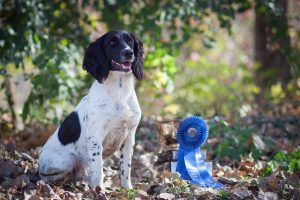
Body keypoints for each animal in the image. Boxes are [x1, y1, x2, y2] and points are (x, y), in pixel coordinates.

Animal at [38, 30, 144, 189]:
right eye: (112, 43)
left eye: (130, 41)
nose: (129, 52)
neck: (120, 93)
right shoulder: (96, 138)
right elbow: (98, 169)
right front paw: (99, 190)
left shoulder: (129, 136)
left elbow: (126, 168)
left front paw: (127, 190)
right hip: (66, 160)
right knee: (49, 176)